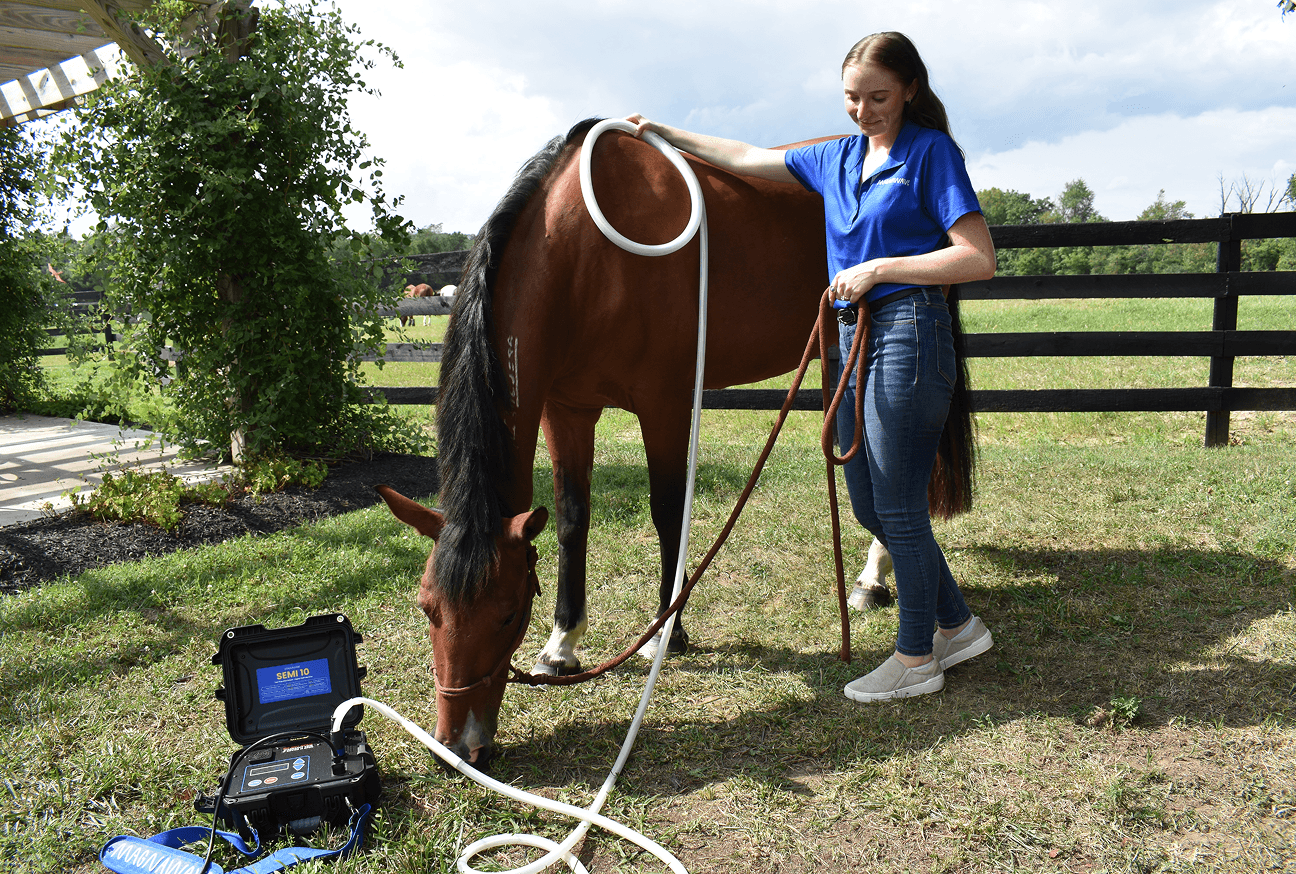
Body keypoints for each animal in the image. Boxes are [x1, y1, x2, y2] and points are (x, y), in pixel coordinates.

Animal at [377, 118, 974, 766]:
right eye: (427, 608)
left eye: (508, 613)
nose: (458, 747)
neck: (587, 258)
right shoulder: (567, 409)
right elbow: (571, 518)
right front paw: (562, 644)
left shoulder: (663, 404)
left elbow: (667, 512)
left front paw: (666, 632)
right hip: (841, 353)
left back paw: (877, 578)